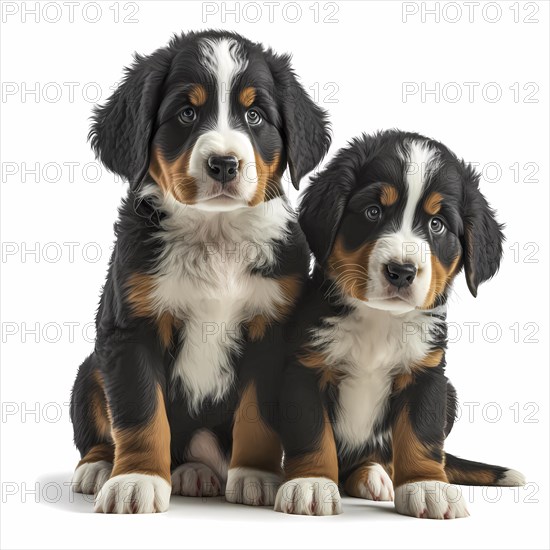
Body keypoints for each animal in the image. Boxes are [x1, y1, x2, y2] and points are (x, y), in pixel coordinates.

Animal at [68, 29, 328, 512]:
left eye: (254, 115)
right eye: (186, 113)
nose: (224, 164)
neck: (215, 234)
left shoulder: (271, 331)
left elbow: (257, 414)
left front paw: (255, 475)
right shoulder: (131, 330)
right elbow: (140, 412)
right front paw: (135, 479)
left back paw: (195, 472)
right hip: (89, 370)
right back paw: (99, 467)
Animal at [274, 132, 528, 520]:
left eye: (437, 225)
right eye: (373, 212)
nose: (401, 271)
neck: (380, 320)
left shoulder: (426, 375)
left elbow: (421, 437)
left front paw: (427, 487)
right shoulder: (305, 368)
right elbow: (312, 432)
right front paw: (312, 482)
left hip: (450, 395)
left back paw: (376, 476)